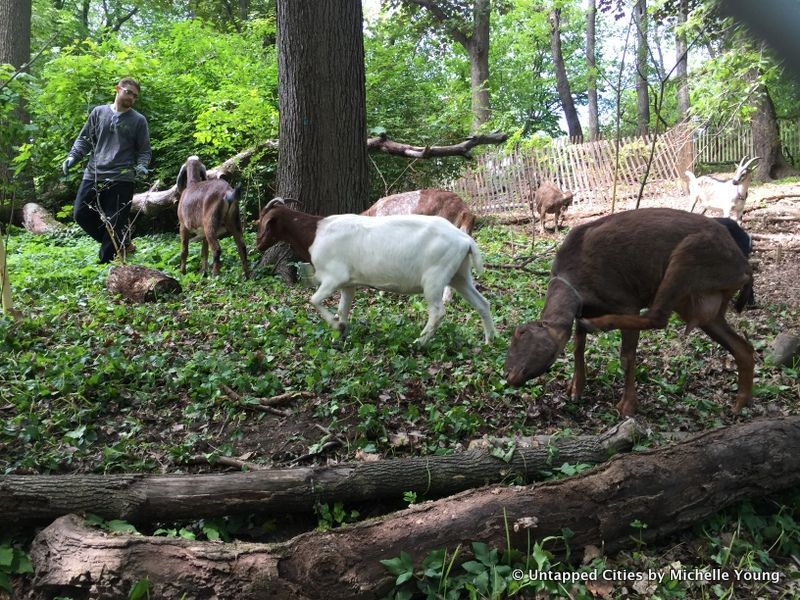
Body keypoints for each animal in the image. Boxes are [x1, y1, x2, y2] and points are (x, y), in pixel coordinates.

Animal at [256, 199, 496, 344]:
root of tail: (464, 239)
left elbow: (313, 300)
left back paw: (420, 341)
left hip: (435, 277)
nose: (258, 245)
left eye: (262, 222)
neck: (314, 233)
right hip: (459, 275)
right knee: (482, 303)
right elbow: (343, 308)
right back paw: (489, 340)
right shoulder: (348, 284)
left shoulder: (334, 277)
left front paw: (336, 325)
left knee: (438, 312)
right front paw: (339, 333)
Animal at [506, 206, 756, 418]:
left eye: (521, 333)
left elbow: (626, 356)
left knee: (657, 318)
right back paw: (740, 403)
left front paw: (627, 406)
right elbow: (578, 346)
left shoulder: (625, 301)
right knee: (742, 347)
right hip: (701, 304)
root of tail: (744, 266)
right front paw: (576, 388)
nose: (508, 375)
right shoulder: (583, 309)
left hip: (686, 260)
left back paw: (600, 324)